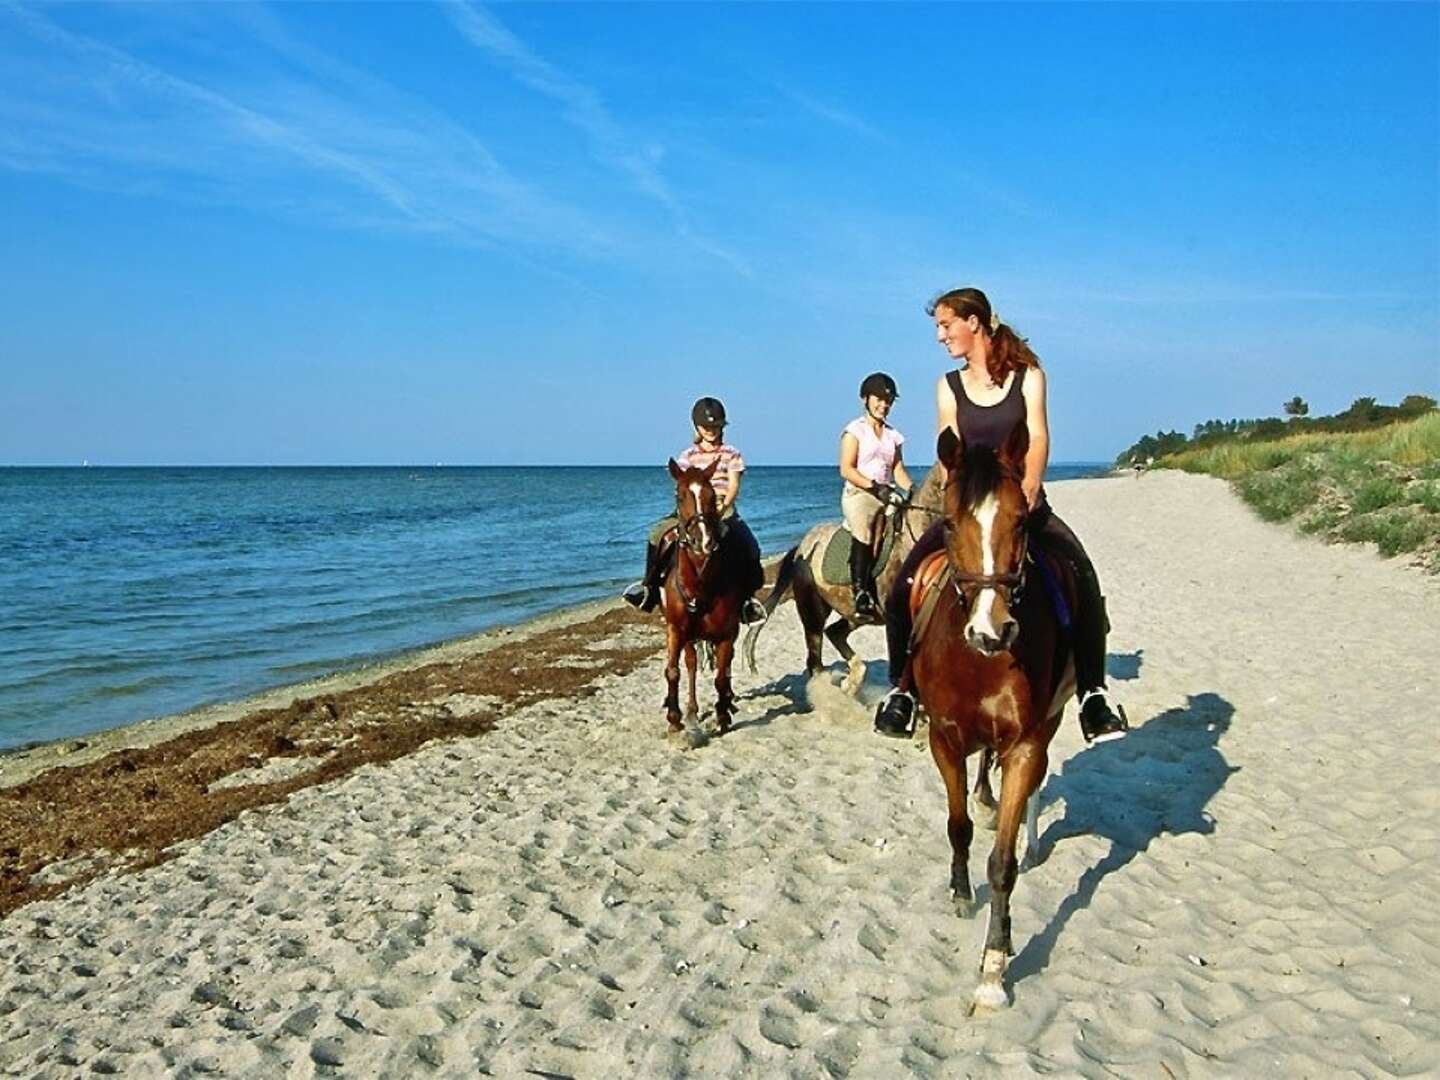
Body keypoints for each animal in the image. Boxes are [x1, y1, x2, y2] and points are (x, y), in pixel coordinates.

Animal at [659, 457, 748, 743]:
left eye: (711, 496)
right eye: (679, 495)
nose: (703, 541)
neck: (699, 583)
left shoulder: (726, 634)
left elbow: (720, 676)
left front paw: (723, 716)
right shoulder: (676, 630)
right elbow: (673, 671)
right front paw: (675, 720)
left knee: (724, 668)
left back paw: (726, 701)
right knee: (691, 665)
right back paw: (691, 711)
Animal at [910, 420, 1082, 1013]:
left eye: (1021, 521)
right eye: (949, 522)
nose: (992, 631)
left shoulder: (1027, 741)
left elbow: (1001, 864)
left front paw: (993, 968)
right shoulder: (944, 738)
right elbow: (958, 825)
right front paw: (962, 894)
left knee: (1030, 790)